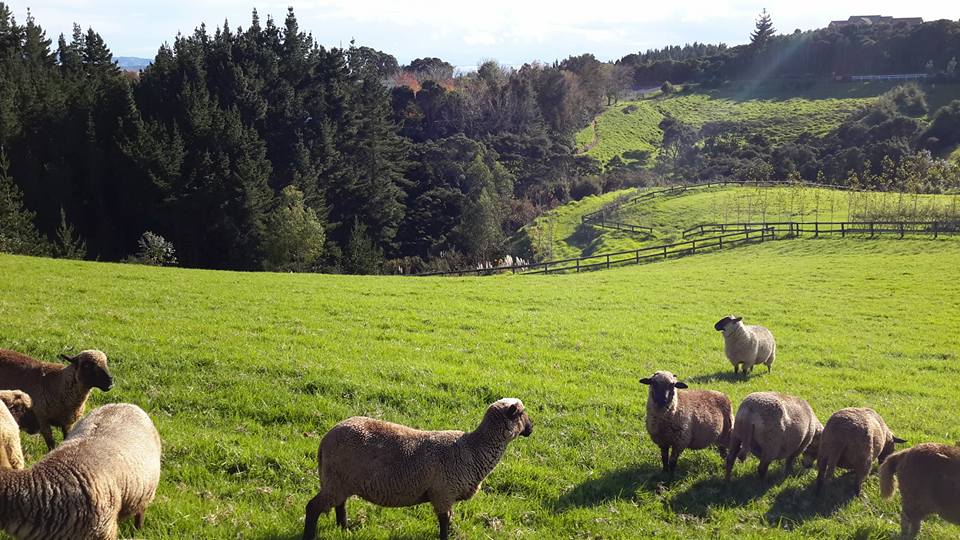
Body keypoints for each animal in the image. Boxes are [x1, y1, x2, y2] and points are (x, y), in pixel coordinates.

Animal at [302, 398, 533, 540]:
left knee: (340, 505)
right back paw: (312, 534)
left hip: (340, 481)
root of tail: (325, 439)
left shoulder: (445, 494)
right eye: (522, 413)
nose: (532, 429)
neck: (474, 449)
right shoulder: (443, 493)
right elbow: (445, 522)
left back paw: (344, 529)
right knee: (313, 507)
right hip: (335, 479)